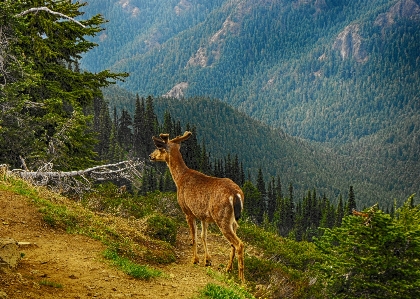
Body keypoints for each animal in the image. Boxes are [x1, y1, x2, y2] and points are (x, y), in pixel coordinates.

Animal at [149, 131, 244, 284]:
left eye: (159, 148)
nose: (150, 156)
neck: (179, 178)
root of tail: (236, 194)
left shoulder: (188, 211)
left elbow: (193, 237)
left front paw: (195, 259)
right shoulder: (203, 216)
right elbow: (203, 236)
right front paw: (208, 260)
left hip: (221, 217)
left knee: (239, 244)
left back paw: (241, 280)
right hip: (233, 220)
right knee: (233, 244)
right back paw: (228, 269)